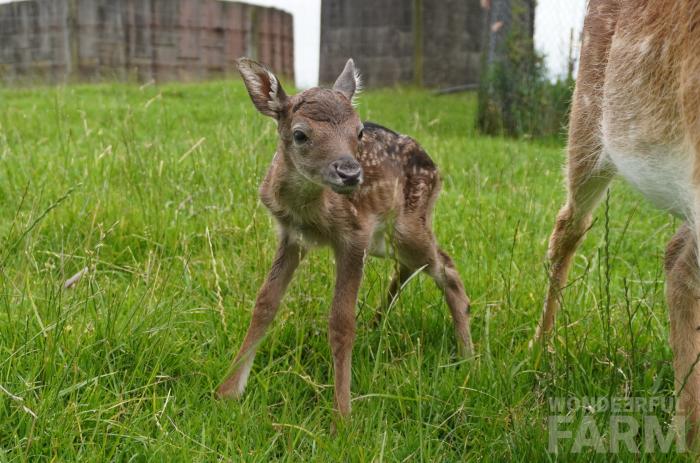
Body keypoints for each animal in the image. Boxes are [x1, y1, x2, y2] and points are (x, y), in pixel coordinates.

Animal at [216, 58, 474, 419]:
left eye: (359, 131)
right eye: (300, 134)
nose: (351, 174)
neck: (311, 212)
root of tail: (437, 169)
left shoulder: (354, 234)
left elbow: (341, 322)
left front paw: (342, 415)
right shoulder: (292, 236)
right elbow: (265, 303)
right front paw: (227, 392)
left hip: (407, 227)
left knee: (446, 267)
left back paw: (469, 356)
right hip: (385, 240)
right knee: (412, 267)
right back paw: (379, 325)